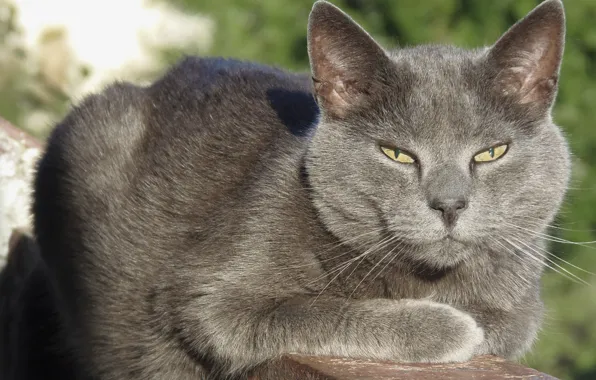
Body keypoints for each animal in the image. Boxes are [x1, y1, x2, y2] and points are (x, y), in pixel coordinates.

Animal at [15, 0, 568, 378]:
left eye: (490, 153)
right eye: (397, 154)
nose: (450, 203)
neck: (424, 277)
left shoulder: (523, 303)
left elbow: (503, 320)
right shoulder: (212, 299)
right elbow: (320, 309)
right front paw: (447, 326)